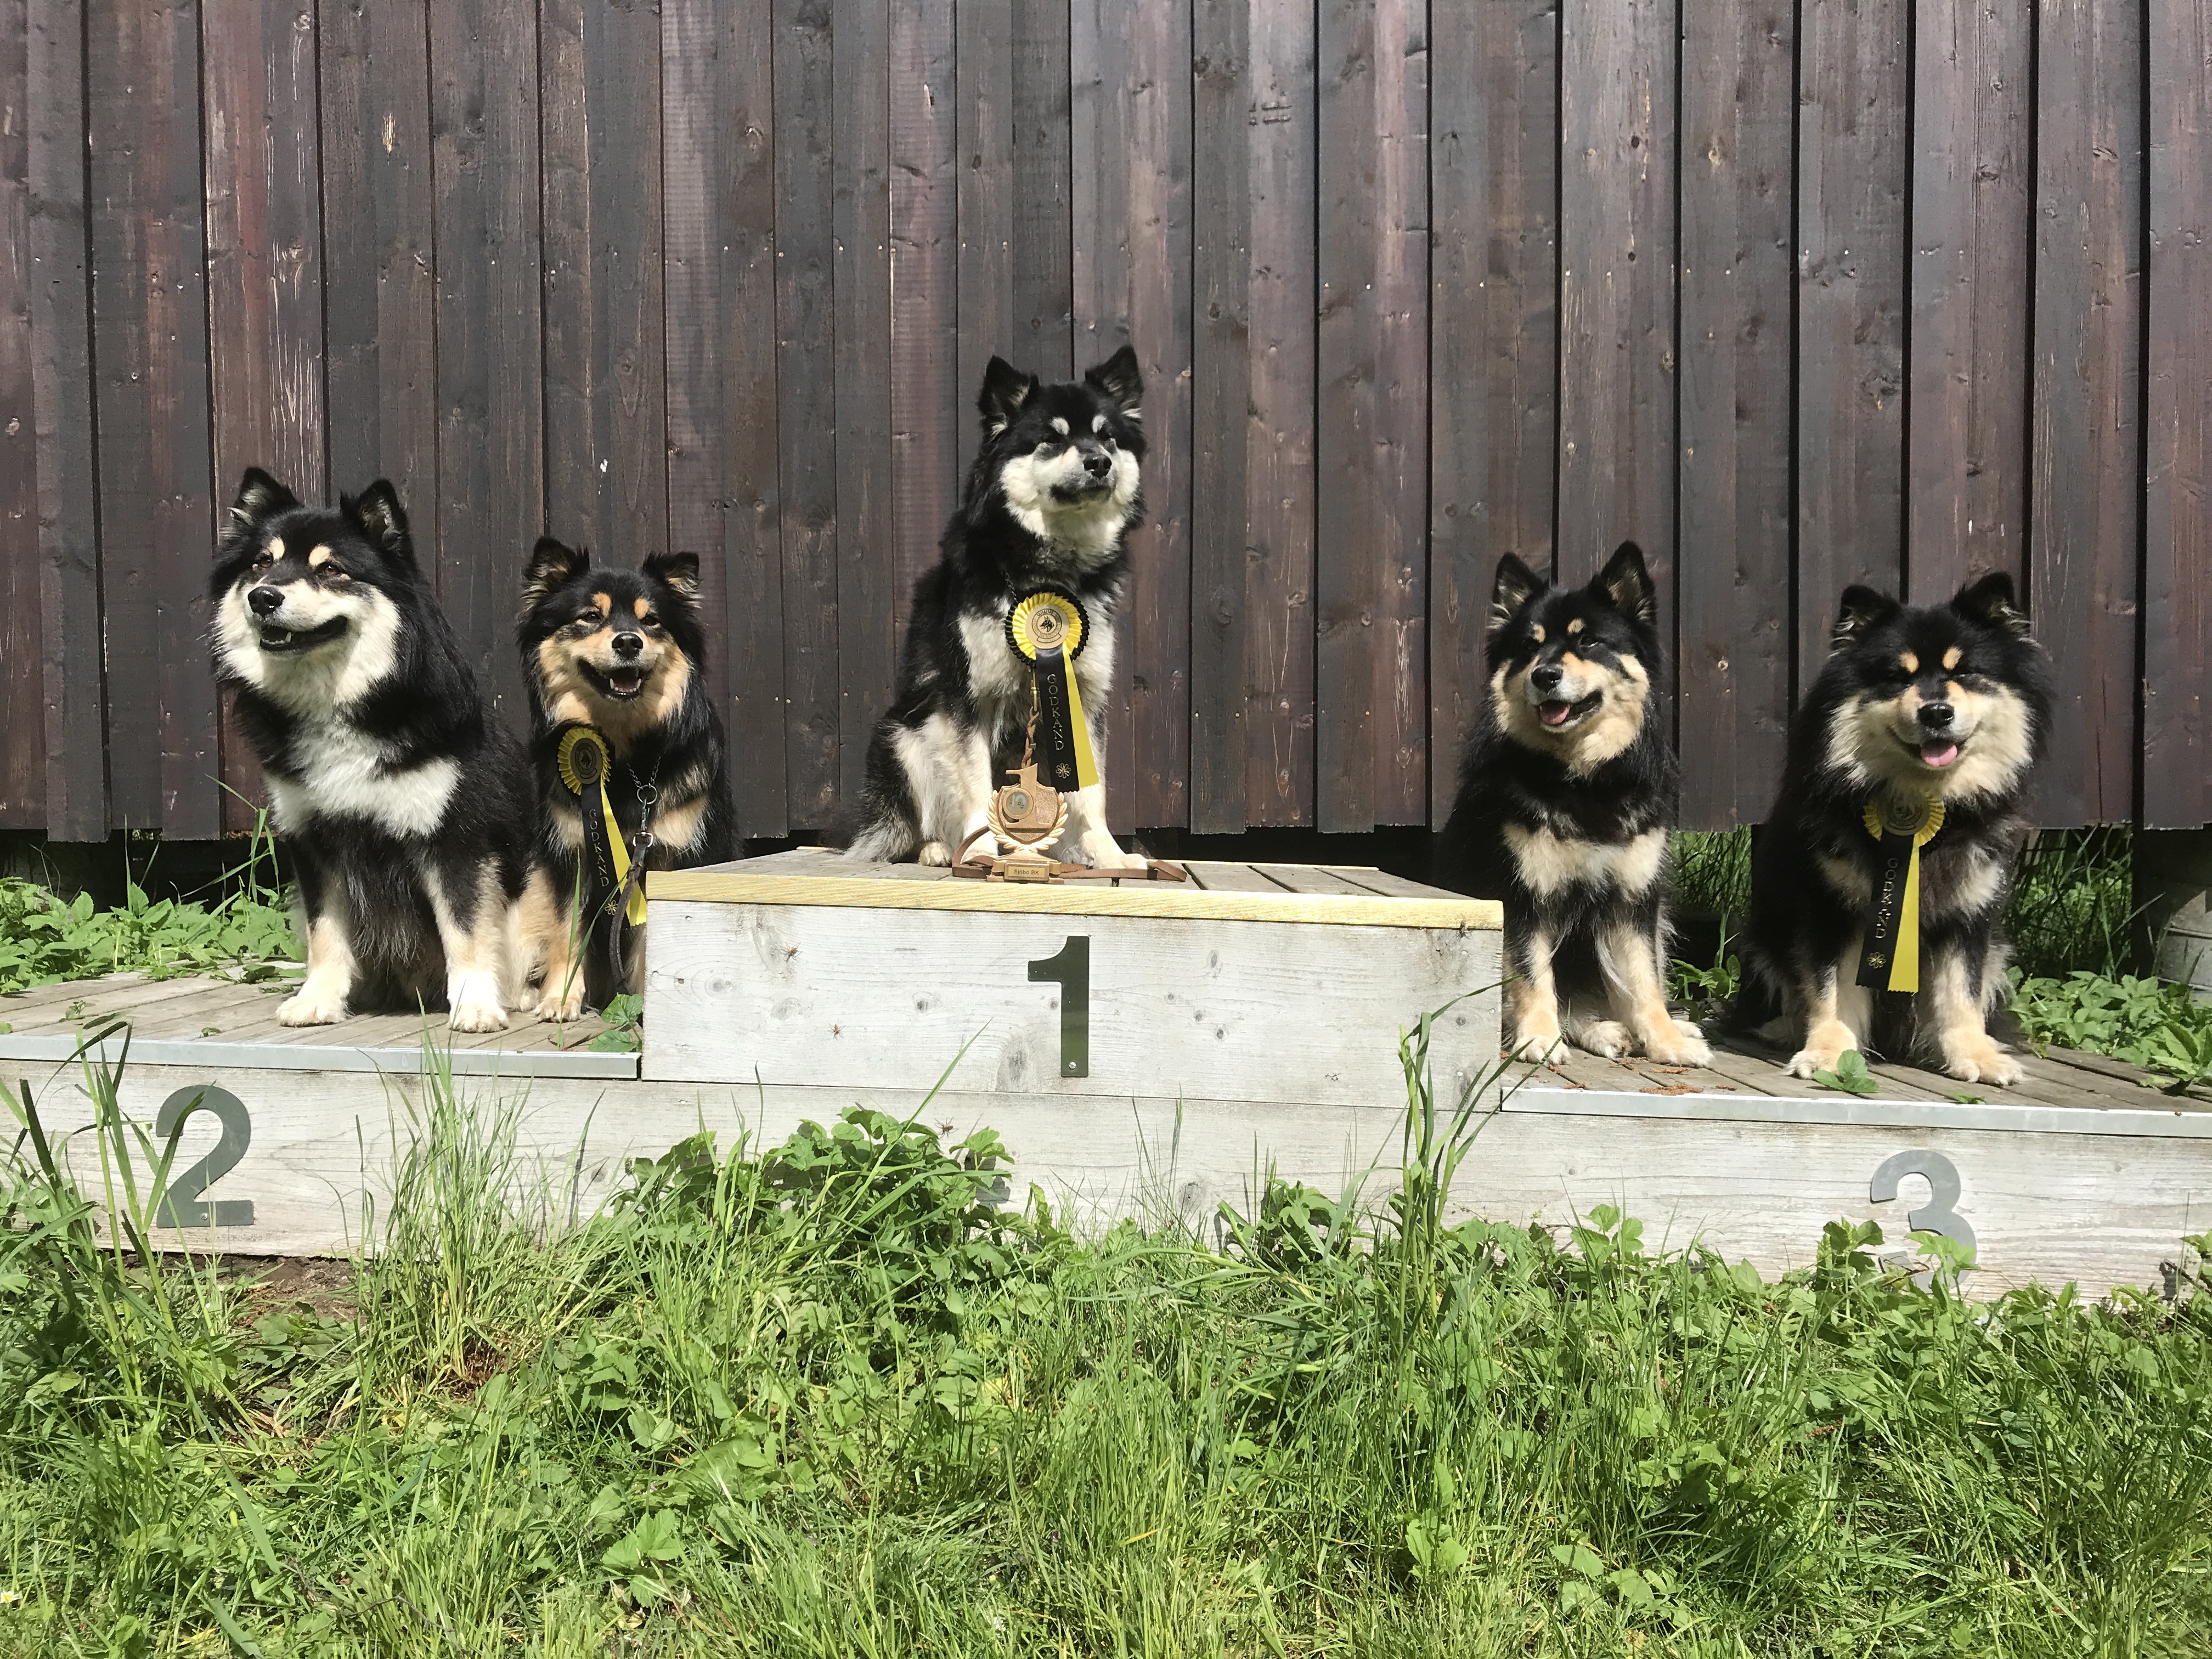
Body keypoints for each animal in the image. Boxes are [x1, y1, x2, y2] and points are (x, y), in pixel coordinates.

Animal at [210, 468, 537, 1031]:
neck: (343, 706)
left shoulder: (454, 841)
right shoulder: (315, 844)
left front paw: (475, 1005)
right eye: (261, 563)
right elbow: (325, 933)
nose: (263, 598)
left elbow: (466, 931)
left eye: (331, 569)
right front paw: (318, 999)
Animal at [517, 539, 736, 1017]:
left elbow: (651, 938)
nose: (629, 642)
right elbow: (566, 930)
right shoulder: (571, 853)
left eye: (650, 621)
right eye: (590, 616)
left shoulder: (669, 855)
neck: (624, 760)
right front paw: (561, 997)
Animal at [846, 347, 1147, 870]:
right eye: (1051, 438)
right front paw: (980, 851)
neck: (1047, 568)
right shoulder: (968, 696)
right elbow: (975, 783)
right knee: (917, 823)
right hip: (905, 736)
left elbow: (1093, 793)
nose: (1099, 462)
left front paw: (1109, 855)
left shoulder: (1082, 695)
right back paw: (939, 849)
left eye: (1107, 435)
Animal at [1437, 542, 1711, 1068]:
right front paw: (1539, 1039)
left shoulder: (1634, 901)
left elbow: (1645, 981)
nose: (1545, 675)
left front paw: (1666, 1040)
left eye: (1589, 642)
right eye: (1530, 647)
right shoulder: (1522, 895)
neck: (1585, 782)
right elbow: (1532, 976)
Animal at [1737, 574, 2049, 1086]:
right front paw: (1828, 1053)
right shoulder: (1834, 909)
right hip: (1765, 940)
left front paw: (1976, 1057)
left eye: (1965, 673)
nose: (1937, 712)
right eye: (1898, 677)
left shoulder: (1968, 916)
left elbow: (1962, 994)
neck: (1924, 802)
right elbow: (1830, 991)